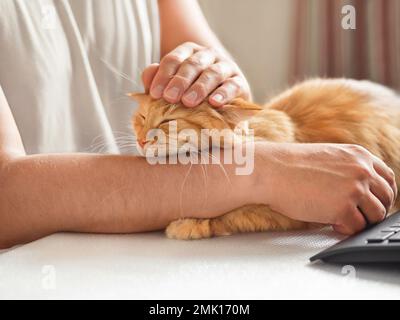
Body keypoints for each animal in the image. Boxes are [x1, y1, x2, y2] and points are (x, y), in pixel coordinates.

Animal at [131, 79, 400, 240]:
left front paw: (187, 225)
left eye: (167, 121)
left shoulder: (285, 214)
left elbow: (230, 216)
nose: (142, 140)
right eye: (142, 117)